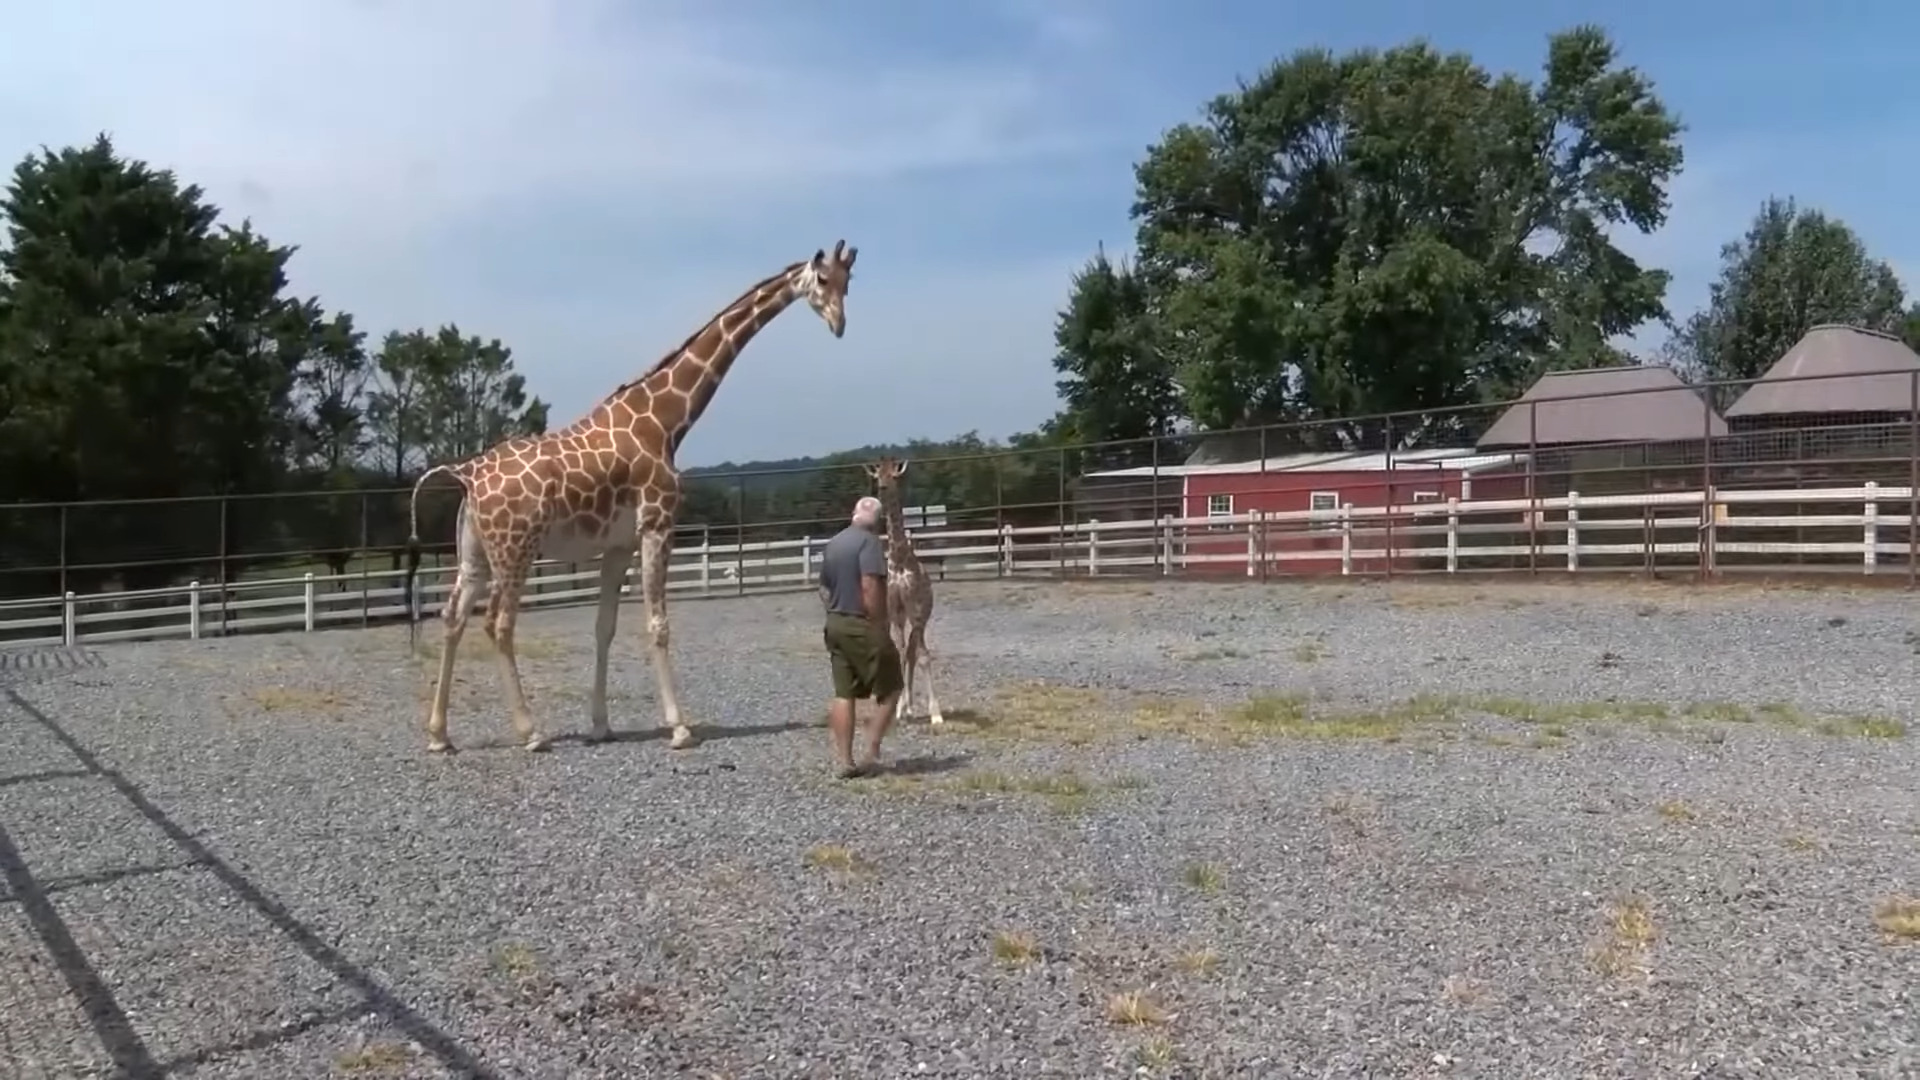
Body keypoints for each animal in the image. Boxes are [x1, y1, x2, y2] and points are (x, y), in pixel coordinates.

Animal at [407, 240, 864, 753]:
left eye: (849, 283)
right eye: (822, 280)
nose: (839, 323)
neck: (666, 420)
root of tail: (466, 474)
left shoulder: (618, 544)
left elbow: (604, 627)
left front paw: (601, 725)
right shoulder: (657, 525)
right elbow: (658, 625)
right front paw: (680, 727)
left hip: (475, 554)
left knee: (452, 617)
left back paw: (439, 734)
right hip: (515, 549)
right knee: (497, 624)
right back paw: (531, 731)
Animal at [864, 453, 944, 722]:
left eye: (894, 475)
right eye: (878, 475)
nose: (882, 487)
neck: (899, 558)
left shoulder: (915, 608)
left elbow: (923, 657)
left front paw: (936, 713)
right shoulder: (895, 609)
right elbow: (899, 652)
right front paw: (898, 708)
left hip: (922, 616)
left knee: (916, 651)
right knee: (908, 650)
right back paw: (906, 707)